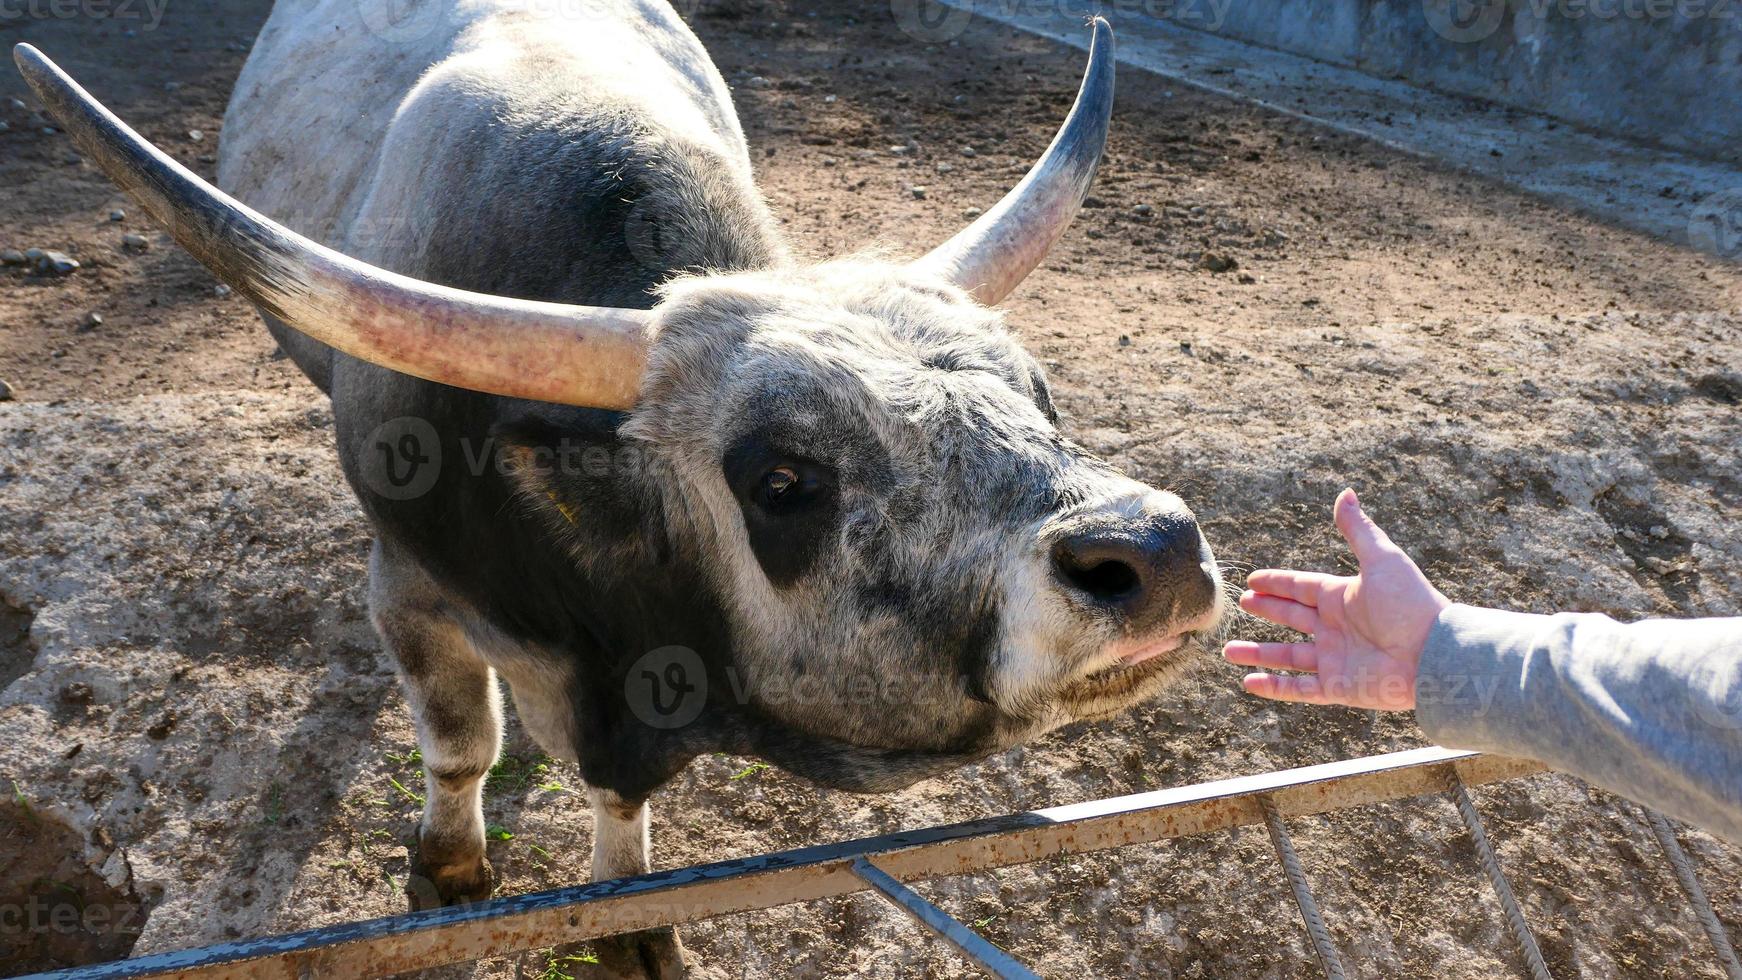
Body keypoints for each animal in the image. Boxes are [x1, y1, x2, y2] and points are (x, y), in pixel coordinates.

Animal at [13, 3, 1219, 974]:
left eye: (1039, 391)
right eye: (781, 478)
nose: (1152, 551)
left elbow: (620, 801)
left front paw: (629, 918)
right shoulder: (409, 586)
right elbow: (461, 743)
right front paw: (450, 872)